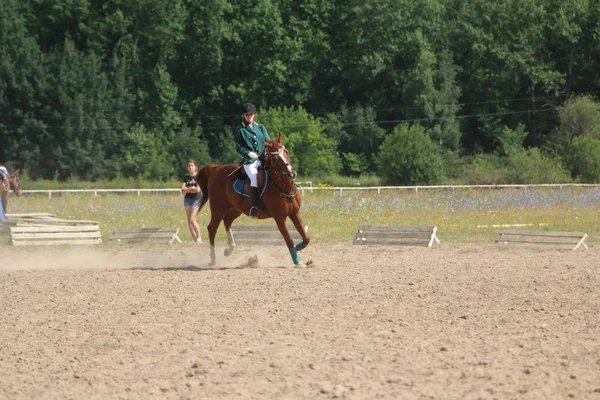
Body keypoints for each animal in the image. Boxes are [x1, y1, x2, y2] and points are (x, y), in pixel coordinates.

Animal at [198, 133, 312, 268]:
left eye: (286, 152)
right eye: (275, 158)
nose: (291, 174)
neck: (284, 187)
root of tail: (216, 169)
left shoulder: (295, 213)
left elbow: (306, 237)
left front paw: (299, 247)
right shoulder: (279, 218)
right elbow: (288, 239)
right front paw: (297, 262)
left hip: (236, 209)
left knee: (227, 221)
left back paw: (229, 249)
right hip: (218, 208)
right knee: (212, 229)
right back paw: (213, 260)